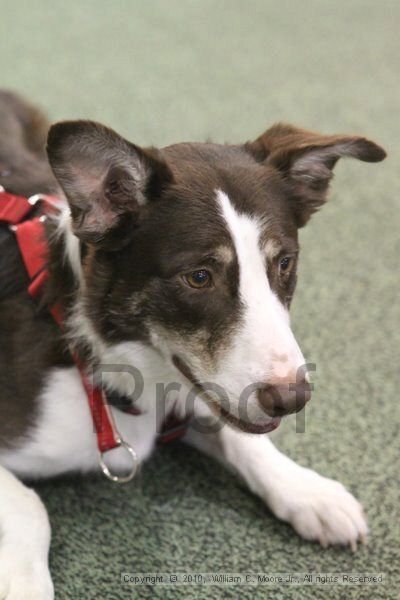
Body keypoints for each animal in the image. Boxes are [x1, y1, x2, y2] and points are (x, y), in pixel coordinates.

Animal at [0, 91, 388, 596]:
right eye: (199, 277)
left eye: (284, 263)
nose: (292, 400)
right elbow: (30, 505)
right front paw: (26, 584)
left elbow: (244, 437)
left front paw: (309, 492)